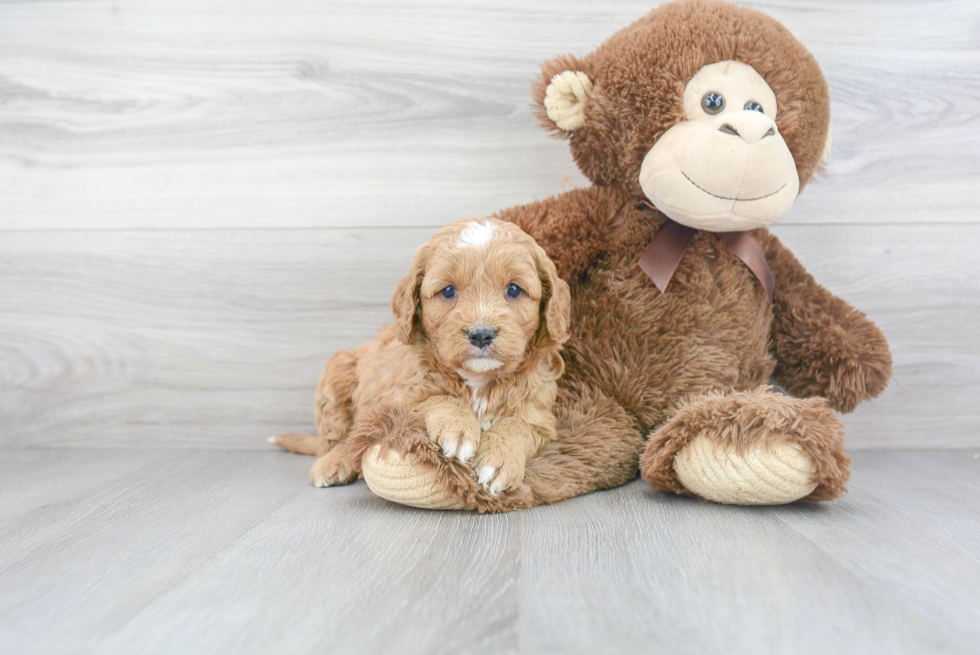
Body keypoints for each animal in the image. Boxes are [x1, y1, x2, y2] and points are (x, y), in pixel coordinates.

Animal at [272, 218, 572, 494]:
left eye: (513, 289)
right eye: (448, 290)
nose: (481, 334)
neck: (477, 379)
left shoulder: (540, 415)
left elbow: (517, 425)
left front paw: (499, 459)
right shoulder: (395, 399)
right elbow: (434, 398)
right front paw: (457, 426)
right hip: (337, 370)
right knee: (337, 438)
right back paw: (334, 463)